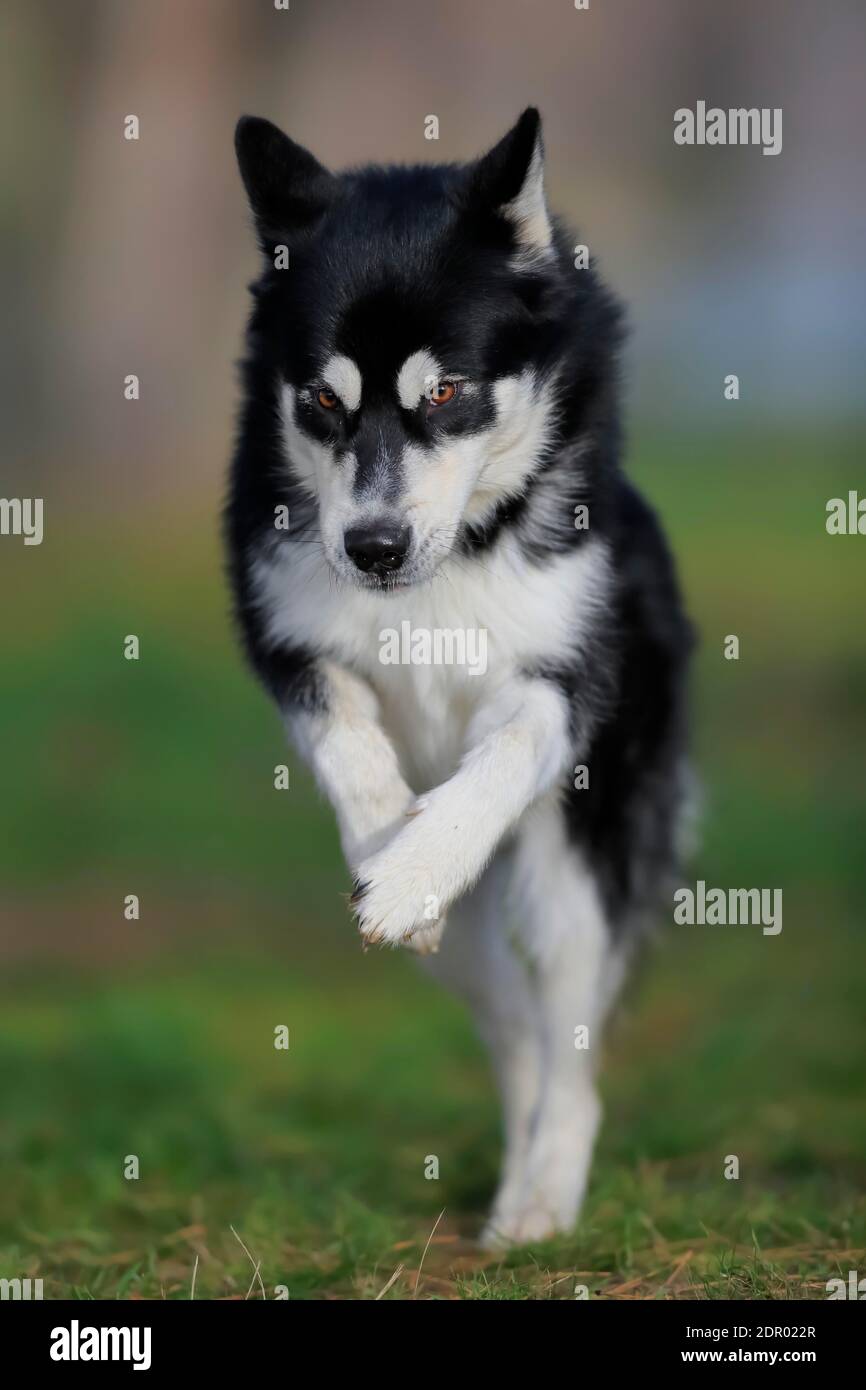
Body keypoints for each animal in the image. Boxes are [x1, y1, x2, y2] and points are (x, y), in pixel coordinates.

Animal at [226, 102, 695, 1245]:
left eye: (444, 391)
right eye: (320, 399)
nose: (372, 548)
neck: (439, 572)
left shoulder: (565, 681)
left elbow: (502, 753)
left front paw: (413, 865)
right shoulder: (285, 640)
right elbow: (349, 742)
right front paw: (391, 857)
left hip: (581, 868)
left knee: (570, 1054)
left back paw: (541, 1204)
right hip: (480, 950)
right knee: (517, 1029)